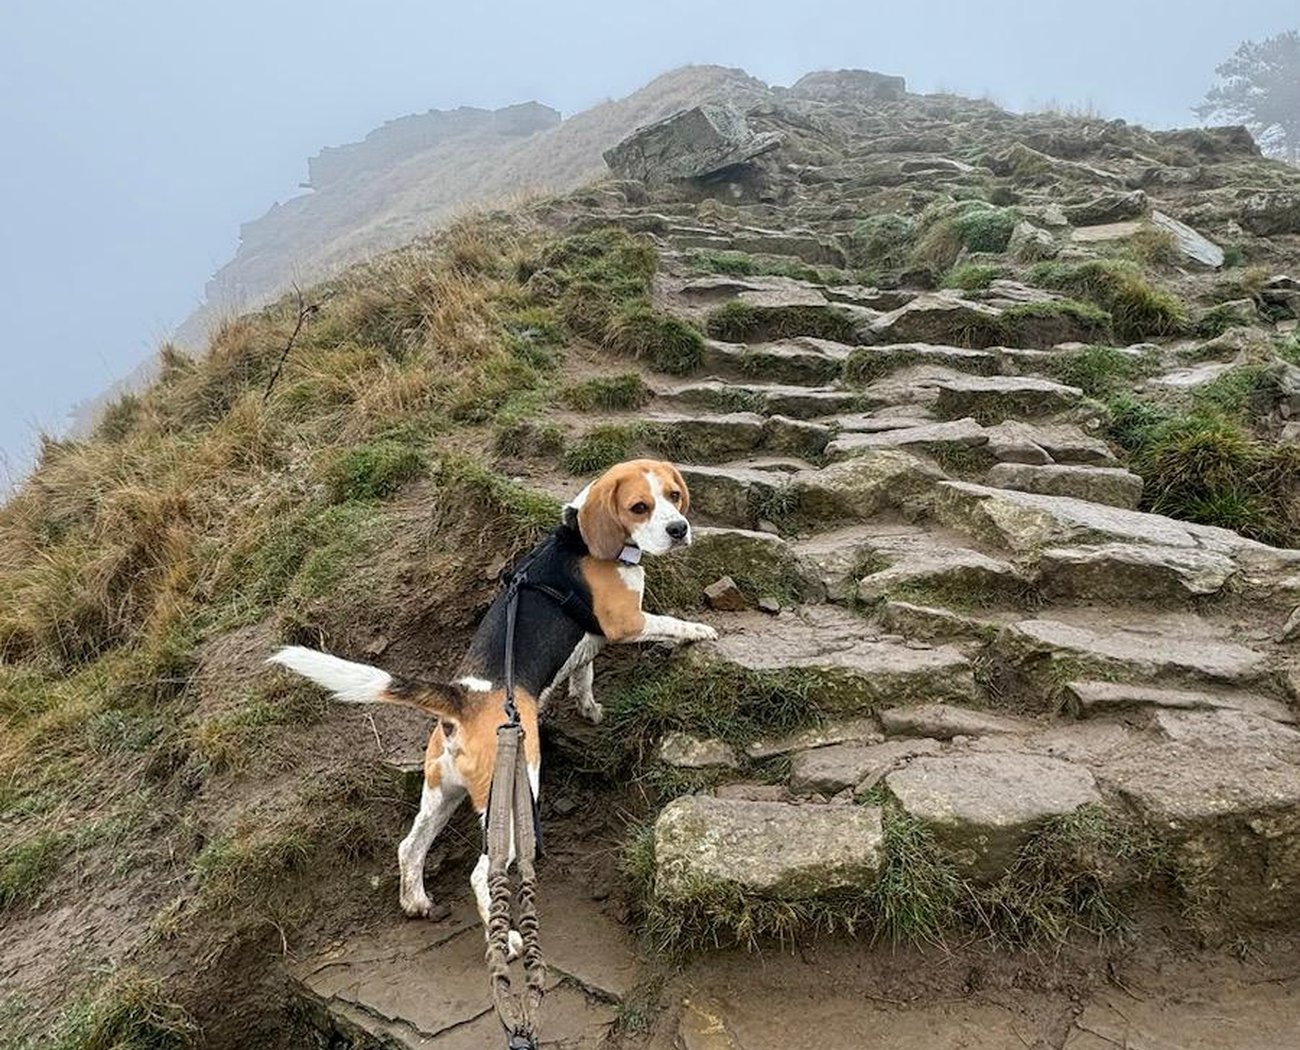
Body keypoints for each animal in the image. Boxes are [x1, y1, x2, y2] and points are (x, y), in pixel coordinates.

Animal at [267, 457, 717, 951]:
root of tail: (462, 699)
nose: (679, 529)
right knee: (482, 871)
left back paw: (416, 900)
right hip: (517, 791)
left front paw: (588, 705)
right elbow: (668, 622)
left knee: (410, 846)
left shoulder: (592, 641)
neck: (577, 536)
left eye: (673, 495)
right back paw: (507, 937)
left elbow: (584, 669)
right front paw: (699, 630)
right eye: (640, 507)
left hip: (442, 791)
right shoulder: (626, 622)